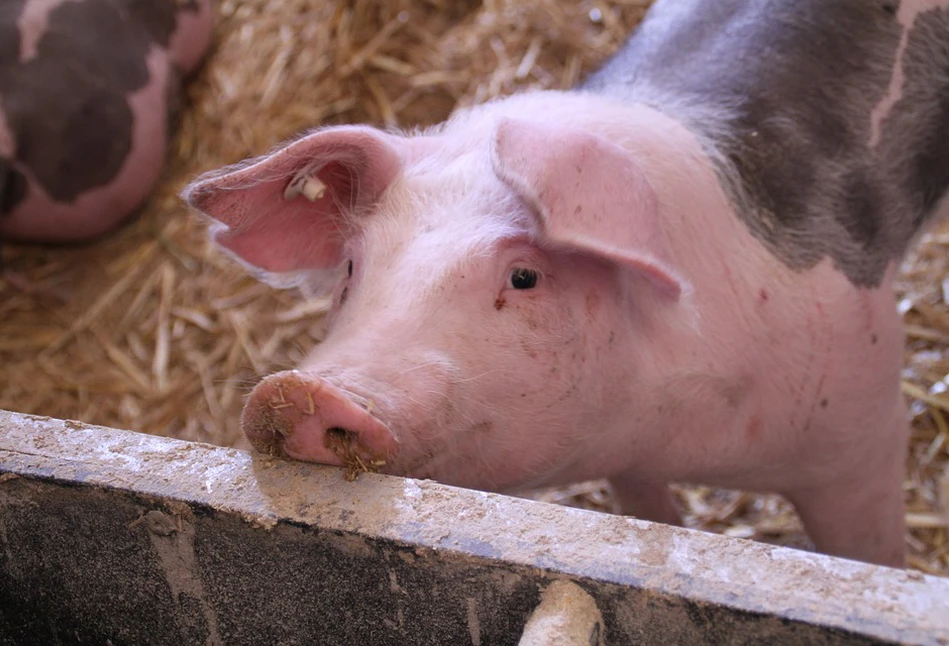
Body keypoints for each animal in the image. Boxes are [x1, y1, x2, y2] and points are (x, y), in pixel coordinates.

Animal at [183, 0, 948, 568]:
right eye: (351, 267)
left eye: (524, 276)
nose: (296, 392)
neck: (661, 420)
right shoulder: (629, 458)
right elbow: (645, 509)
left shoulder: (863, 431)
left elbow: (870, 556)